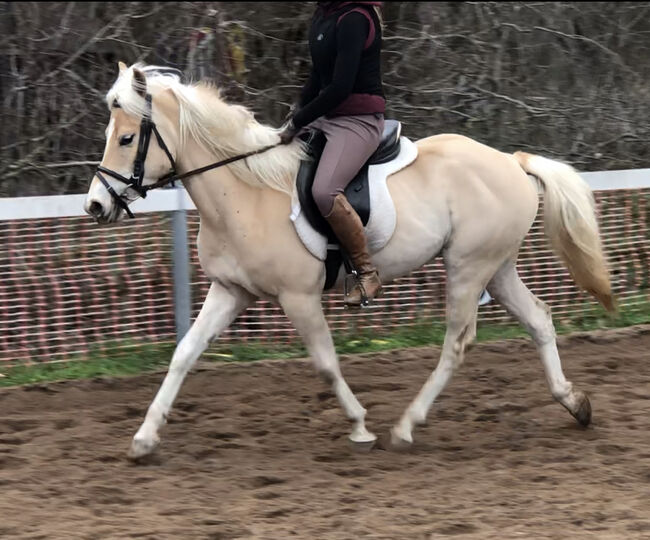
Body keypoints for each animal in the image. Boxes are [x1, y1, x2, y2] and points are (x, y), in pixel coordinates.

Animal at [83, 64, 612, 460]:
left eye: (126, 139)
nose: (95, 205)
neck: (242, 192)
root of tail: (511, 161)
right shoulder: (230, 291)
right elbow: (184, 354)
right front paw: (144, 439)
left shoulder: (298, 297)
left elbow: (325, 363)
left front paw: (360, 426)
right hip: (496, 268)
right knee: (539, 319)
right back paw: (575, 403)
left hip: (468, 267)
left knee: (457, 343)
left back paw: (406, 426)